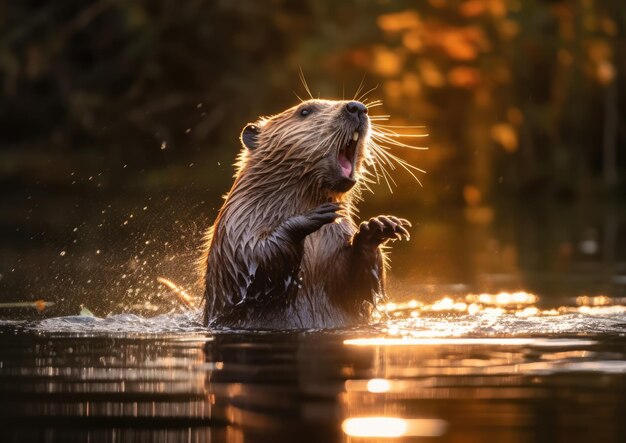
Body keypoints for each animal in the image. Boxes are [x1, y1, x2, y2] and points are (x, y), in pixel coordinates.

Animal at [202, 99, 412, 330]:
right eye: (304, 111)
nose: (357, 107)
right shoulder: (236, 223)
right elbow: (249, 262)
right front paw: (313, 216)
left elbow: (357, 285)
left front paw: (380, 226)